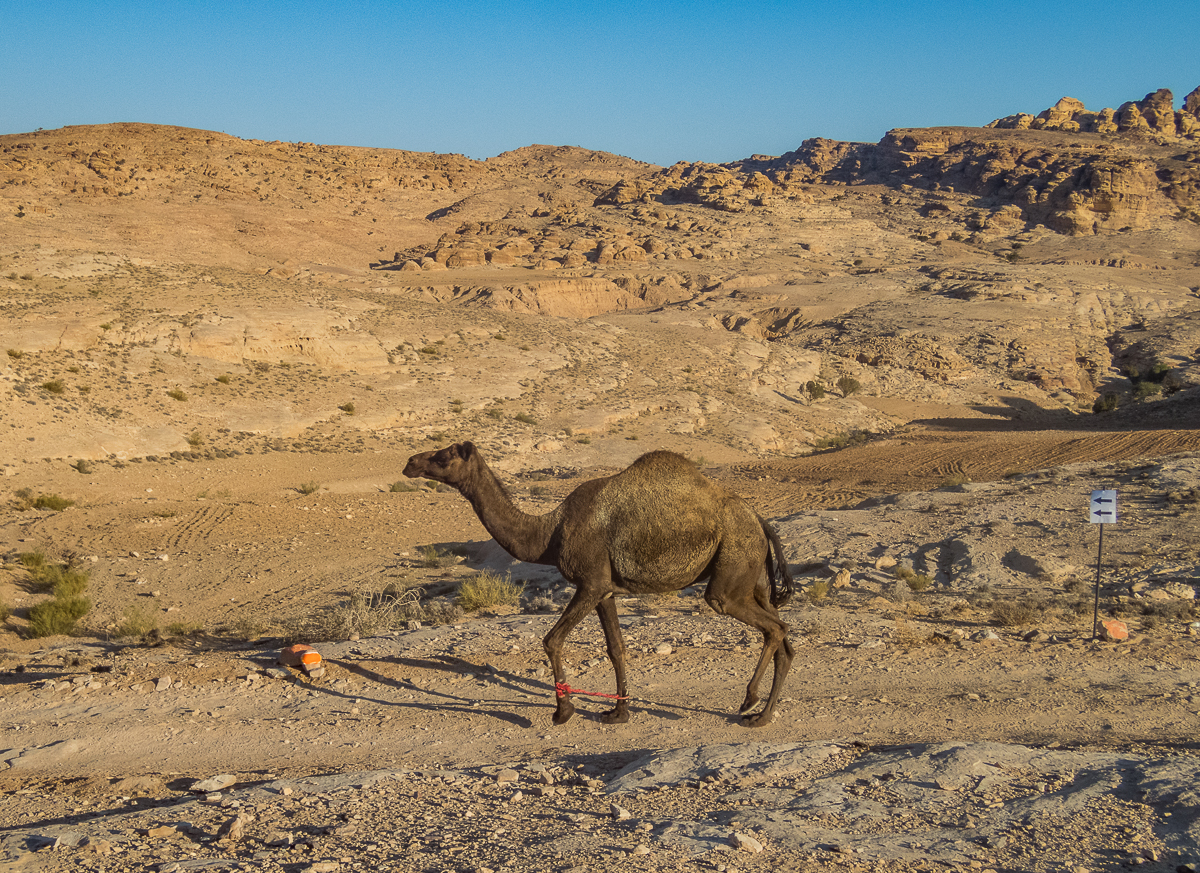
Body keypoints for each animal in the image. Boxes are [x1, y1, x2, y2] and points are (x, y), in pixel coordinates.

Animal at [403, 438, 796, 724]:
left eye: (443, 455)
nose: (410, 462)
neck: (550, 533)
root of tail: (761, 520)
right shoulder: (605, 589)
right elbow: (616, 648)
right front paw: (618, 712)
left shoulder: (590, 583)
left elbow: (551, 640)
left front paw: (563, 711)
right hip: (756, 580)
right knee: (781, 634)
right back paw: (763, 716)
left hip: (731, 572)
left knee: (768, 625)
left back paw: (749, 701)